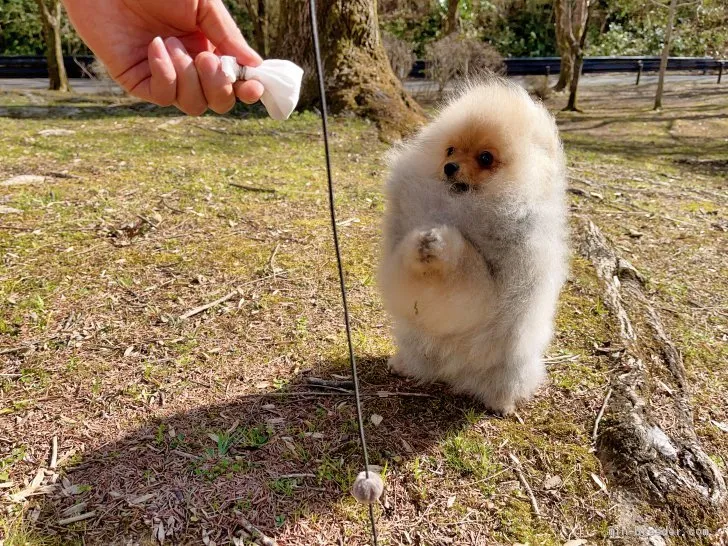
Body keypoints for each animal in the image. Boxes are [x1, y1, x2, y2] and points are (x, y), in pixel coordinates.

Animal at [378, 78, 572, 412]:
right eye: (450, 150)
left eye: (485, 158)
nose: (450, 167)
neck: (461, 205)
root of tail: (454, 372)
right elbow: (405, 278)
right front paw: (420, 243)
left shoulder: (498, 281)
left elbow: (469, 280)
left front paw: (442, 245)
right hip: (416, 343)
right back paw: (403, 365)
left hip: (507, 365)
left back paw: (501, 403)